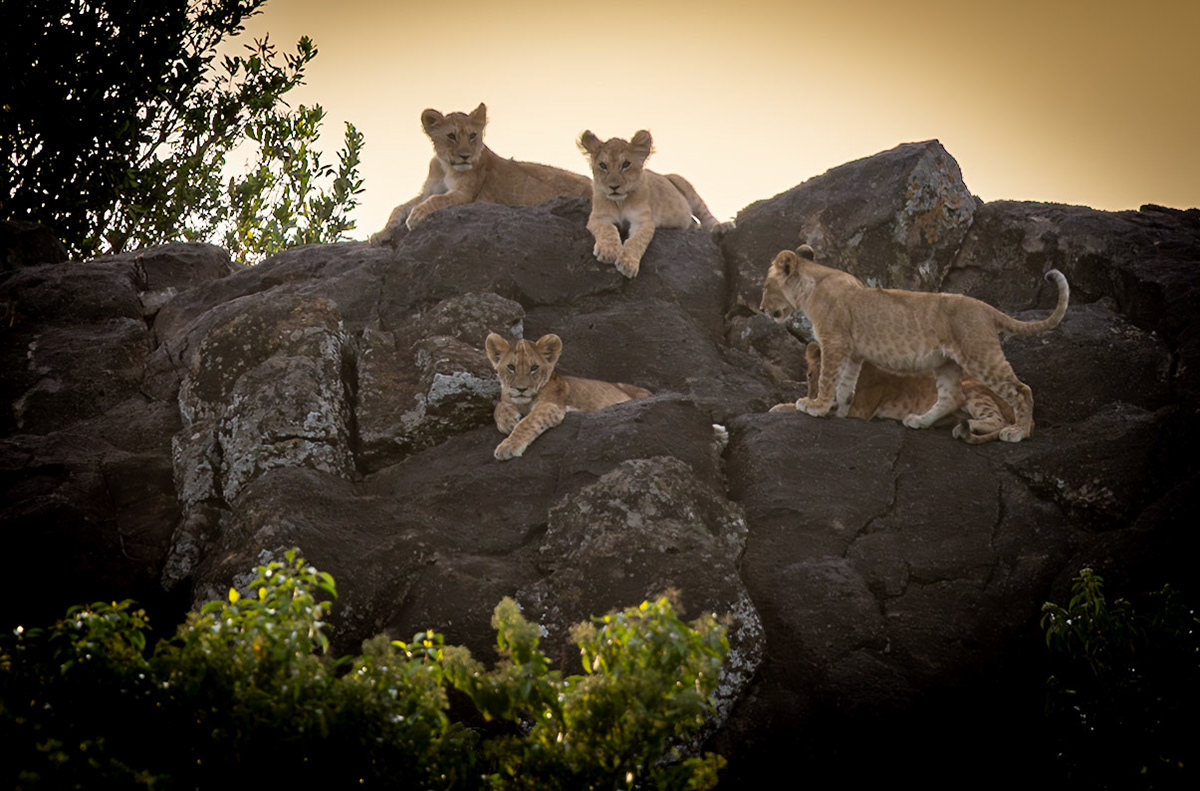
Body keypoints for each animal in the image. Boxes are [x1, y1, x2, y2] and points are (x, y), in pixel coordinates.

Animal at [370, 103, 593, 245]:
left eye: (472, 135)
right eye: (451, 136)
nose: (465, 156)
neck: (445, 166)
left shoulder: (465, 194)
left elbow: (437, 200)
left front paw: (416, 216)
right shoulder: (427, 191)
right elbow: (398, 208)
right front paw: (380, 234)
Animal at [485, 332, 651, 460]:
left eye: (534, 368)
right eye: (511, 367)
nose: (521, 389)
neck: (524, 403)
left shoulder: (552, 405)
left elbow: (527, 422)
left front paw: (508, 446)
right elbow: (499, 406)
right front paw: (507, 421)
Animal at [577, 130, 732, 278]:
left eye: (626, 164)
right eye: (603, 165)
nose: (614, 187)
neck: (620, 202)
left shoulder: (643, 220)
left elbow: (636, 241)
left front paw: (628, 264)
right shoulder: (598, 218)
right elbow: (608, 229)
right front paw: (608, 251)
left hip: (684, 185)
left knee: (705, 214)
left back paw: (723, 226)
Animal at [769, 342, 1019, 444]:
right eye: (810, 375)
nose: (816, 395)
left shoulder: (858, 411)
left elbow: (795, 406)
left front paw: (790, 405)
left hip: (972, 390)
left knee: (1000, 421)